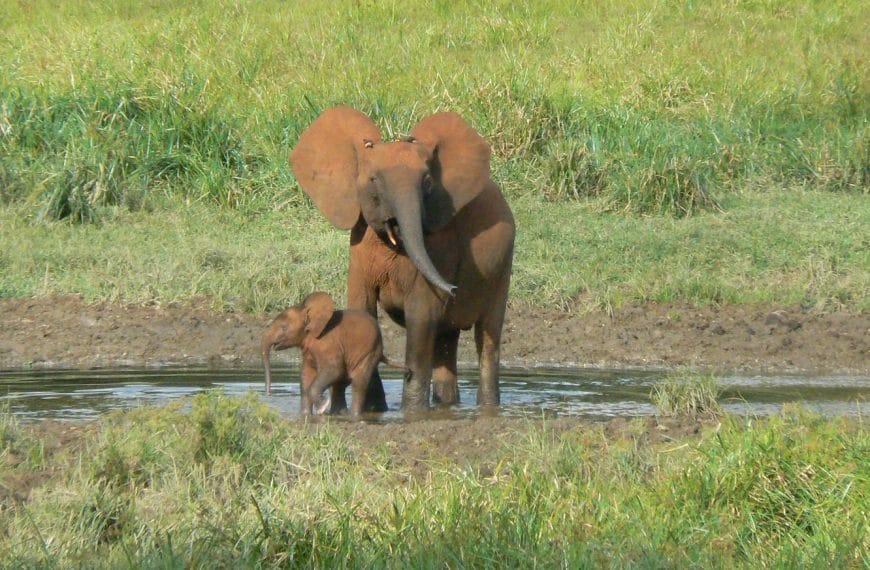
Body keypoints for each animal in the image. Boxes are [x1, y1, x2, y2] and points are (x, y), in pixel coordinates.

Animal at [261, 291, 401, 417]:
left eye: (284, 328)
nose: (268, 395)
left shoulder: (328, 345)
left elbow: (334, 370)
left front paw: (322, 408)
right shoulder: (309, 352)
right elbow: (306, 377)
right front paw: (305, 416)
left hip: (369, 352)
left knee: (358, 383)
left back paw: (352, 416)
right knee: (339, 386)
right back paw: (338, 414)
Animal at [290, 106, 515, 411]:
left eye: (428, 182)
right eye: (373, 180)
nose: (454, 288)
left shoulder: (438, 247)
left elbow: (422, 315)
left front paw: (412, 411)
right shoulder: (359, 246)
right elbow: (362, 308)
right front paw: (375, 409)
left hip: (502, 268)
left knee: (487, 338)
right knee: (445, 340)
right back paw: (447, 406)